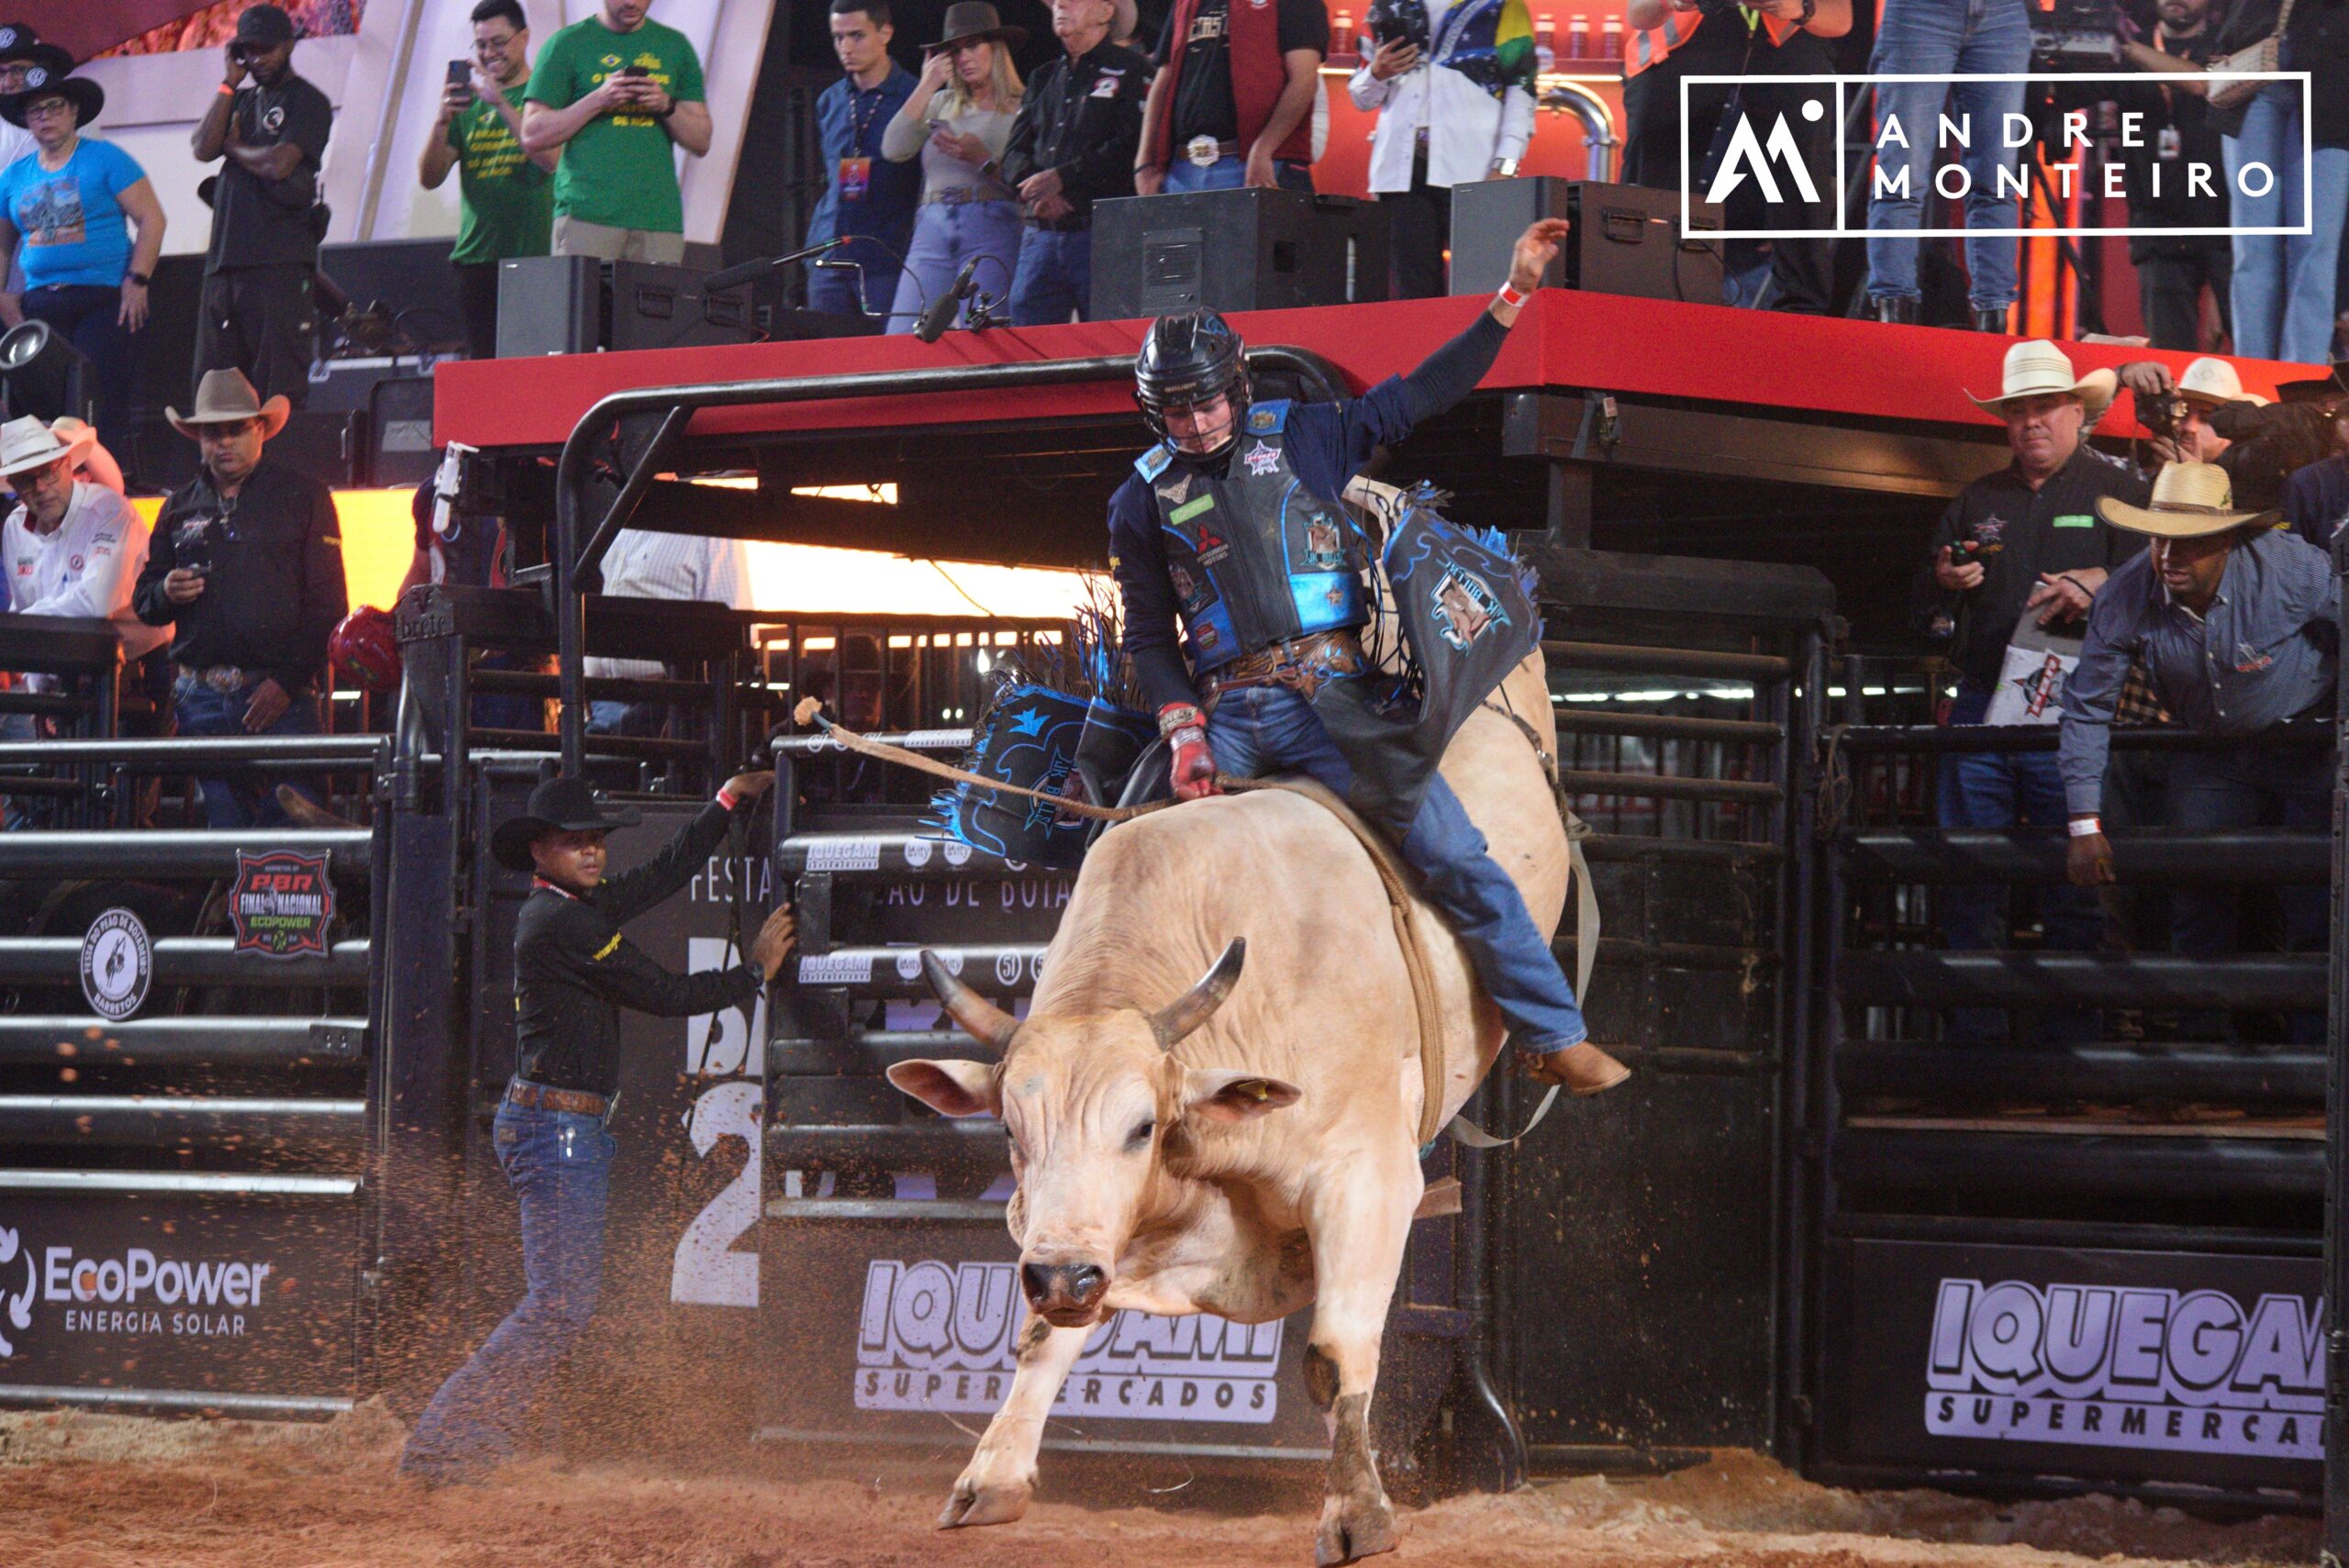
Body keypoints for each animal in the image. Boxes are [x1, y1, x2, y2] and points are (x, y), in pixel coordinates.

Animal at [887, 642, 1569, 1558]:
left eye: (1143, 1126)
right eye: (1011, 1130)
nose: (1062, 1273)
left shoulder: (1368, 1181)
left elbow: (1333, 1354)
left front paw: (1358, 1514)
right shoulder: (1075, 1230)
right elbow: (1040, 1335)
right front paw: (988, 1478)